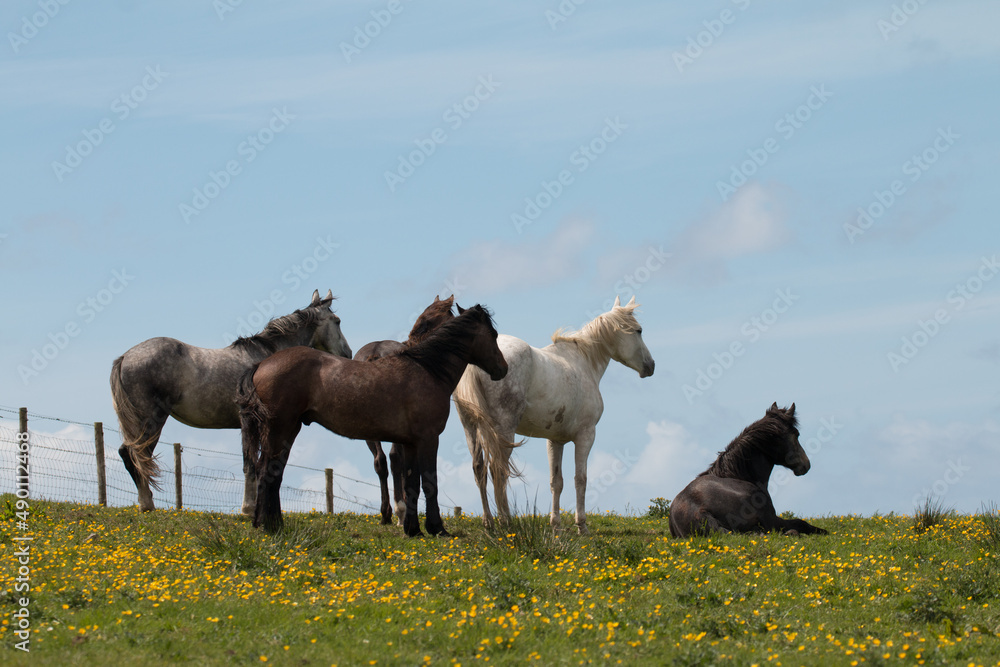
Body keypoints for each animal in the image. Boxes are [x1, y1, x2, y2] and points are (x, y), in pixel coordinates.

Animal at [110, 289, 351, 513]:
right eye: (337, 321)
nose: (347, 354)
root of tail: (126, 357)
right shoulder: (251, 423)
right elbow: (251, 464)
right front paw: (248, 508)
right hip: (151, 421)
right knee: (137, 455)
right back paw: (147, 504)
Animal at [454, 295, 655, 534]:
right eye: (639, 331)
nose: (650, 366)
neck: (583, 361)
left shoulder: (555, 441)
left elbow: (556, 482)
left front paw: (556, 526)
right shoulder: (586, 436)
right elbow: (580, 479)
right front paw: (582, 526)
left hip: (470, 428)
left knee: (479, 469)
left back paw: (489, 523)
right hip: (503, 431)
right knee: (497, 471)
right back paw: (506, 522)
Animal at [668, 403, 828, 538]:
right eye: (796, 434)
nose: (806, 464)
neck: (736, 474)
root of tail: (697, 510)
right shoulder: (772, 519)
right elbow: (801, 523)